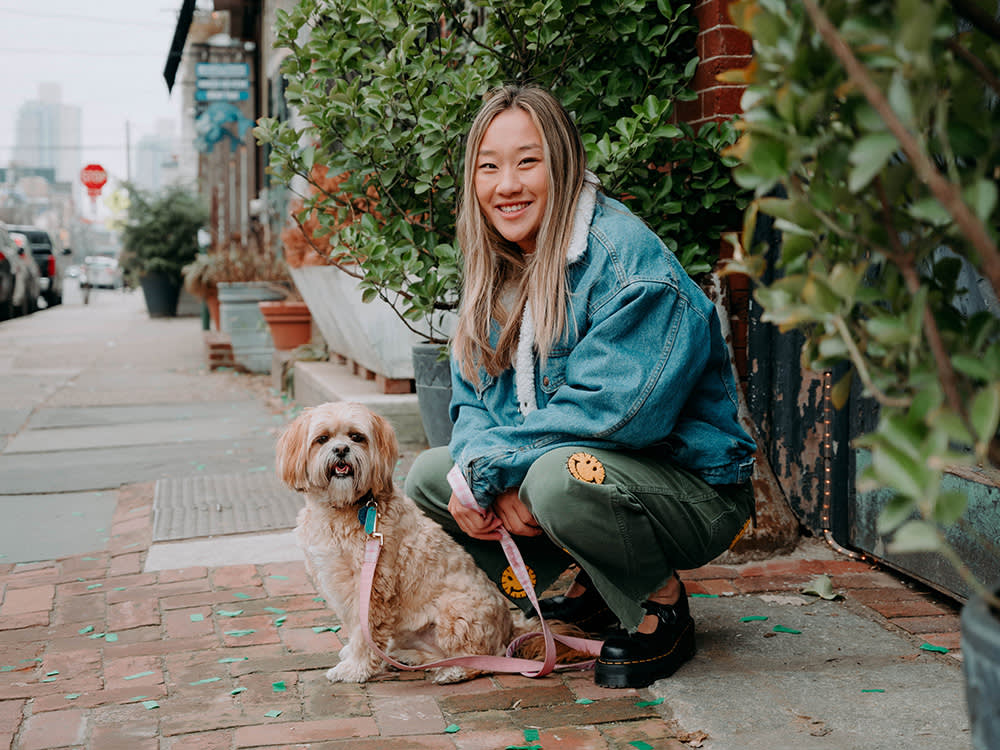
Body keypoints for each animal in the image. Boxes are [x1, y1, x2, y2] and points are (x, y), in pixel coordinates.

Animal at [276, 402, 556, 684]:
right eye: (322, 439)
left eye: (356, 437)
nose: (341, 449)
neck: (344, 508)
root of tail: (510, 628)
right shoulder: (336, 582)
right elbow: (353, 626)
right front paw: (351, 655)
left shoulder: (372, 587)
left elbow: (365, 632)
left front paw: (355, 667)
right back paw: (409, 657)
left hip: (456, 613)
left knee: (483, 658)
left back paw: (453, 671)